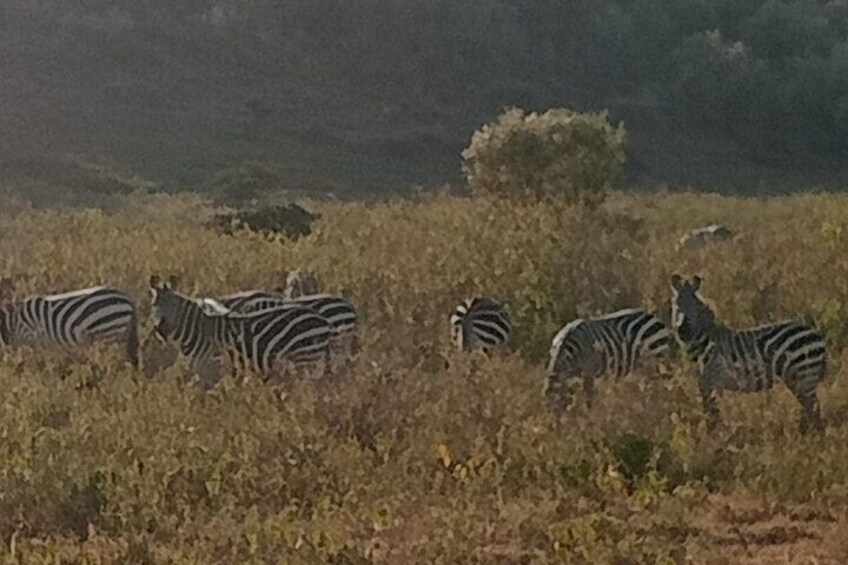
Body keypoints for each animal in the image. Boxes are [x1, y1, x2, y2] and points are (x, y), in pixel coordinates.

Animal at [151, 276, 336, 386]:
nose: (161, 329)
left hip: (305, 357)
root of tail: (323, 319)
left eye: (172, 306)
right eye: (153, 306)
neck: (197, 327)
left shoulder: (206, 364)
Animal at [668, 274, 828, 432]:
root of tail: (816, 333)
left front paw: (714, 432)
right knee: (809, 407)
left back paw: (811, 432)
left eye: (694, 306)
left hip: (804, 375)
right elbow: (711, 410)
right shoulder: (706, 382)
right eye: (676, 304)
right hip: (798, 378)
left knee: (812, 407)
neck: (705, 339)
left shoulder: (712, 380)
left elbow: (711, 410)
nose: (682, 330)